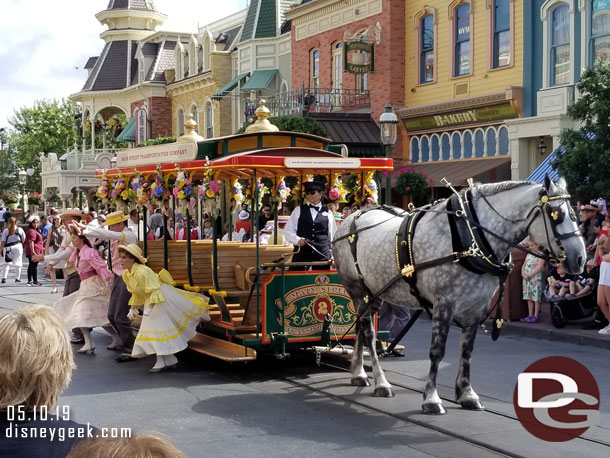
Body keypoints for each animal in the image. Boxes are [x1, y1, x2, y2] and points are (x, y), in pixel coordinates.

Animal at [332, 179, 584, 416]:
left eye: (574, 214)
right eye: (557, 215)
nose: (580, 258)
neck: (470, 237)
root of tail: (351, 218)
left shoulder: (476, 307)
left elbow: (467, 351)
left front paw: (467, 394)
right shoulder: (444, 305)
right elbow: (437, 352)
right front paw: (431, 399)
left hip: (373, 294)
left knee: (361, 328)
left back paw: (358, 373)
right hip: (357, 290)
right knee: (369, 334)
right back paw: (381, 382)